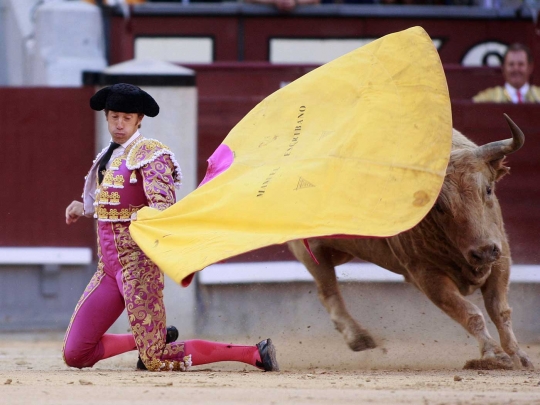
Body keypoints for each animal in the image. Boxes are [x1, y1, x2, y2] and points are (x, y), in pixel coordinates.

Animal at [288, 113, 532, 370]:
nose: (483, 252)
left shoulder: (501, 258)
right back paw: (359, 338)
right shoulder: (426, 275)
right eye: (439, 206)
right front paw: (494, 355)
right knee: (328, 291)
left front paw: (519, 356)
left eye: (488, 189)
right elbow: (470, 313)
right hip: (309, 249)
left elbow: (500, 310)